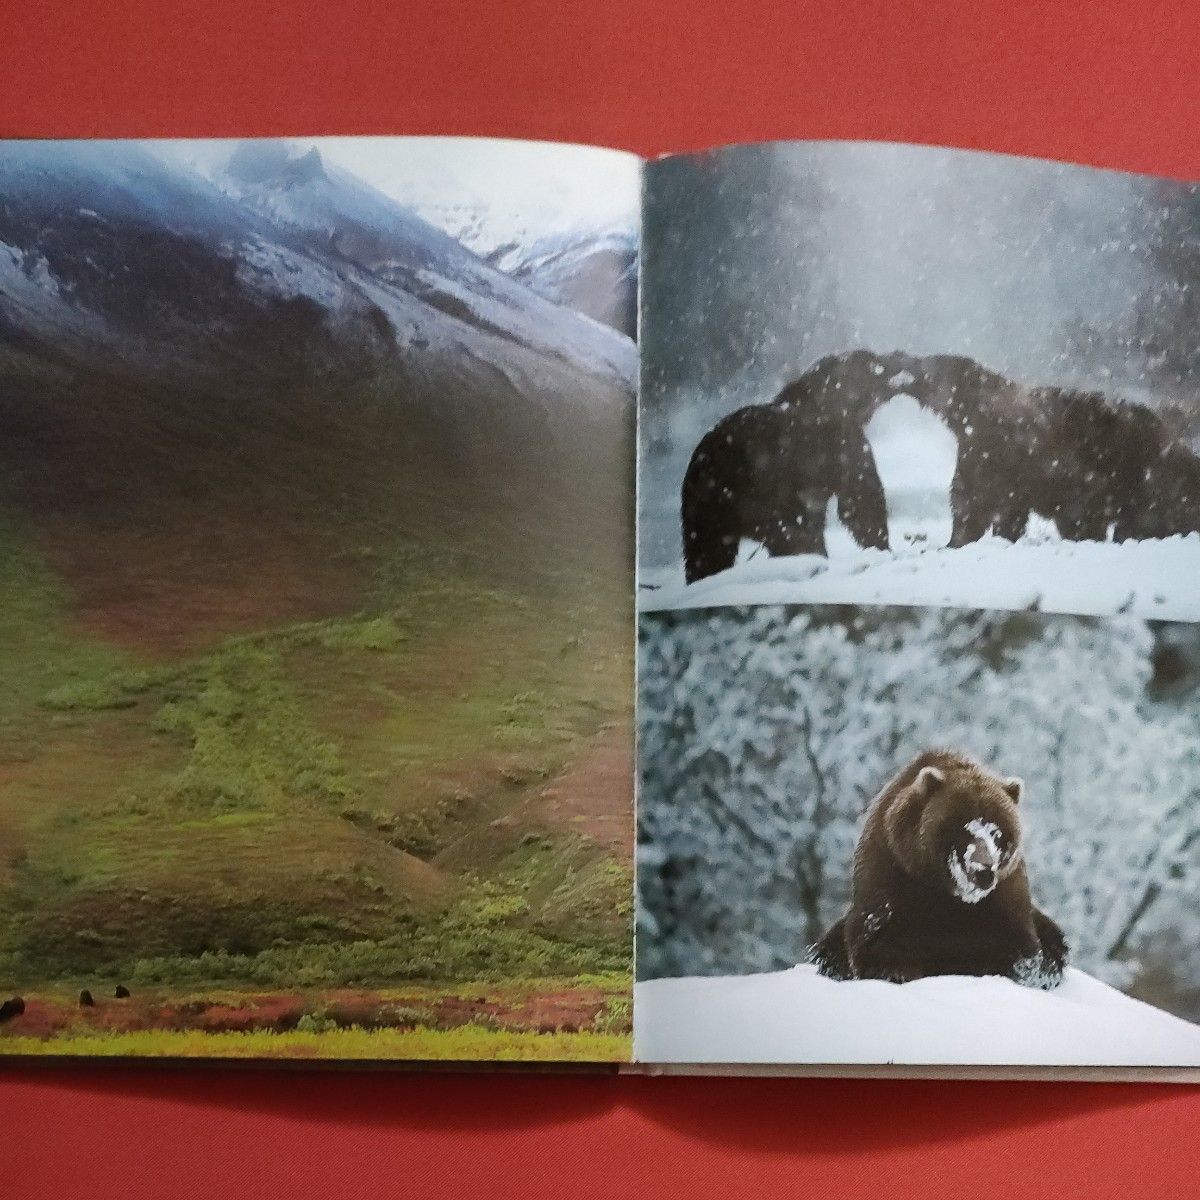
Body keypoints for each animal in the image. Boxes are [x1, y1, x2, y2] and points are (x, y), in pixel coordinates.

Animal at [811, 748, 1065, 993]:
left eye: (997, 833)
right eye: (965, 827)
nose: (983, 871)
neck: (948, 893)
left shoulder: (1004, 896)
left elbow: (1018, 950)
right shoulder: (894, 879)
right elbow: (881, 942)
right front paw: (897, 972)